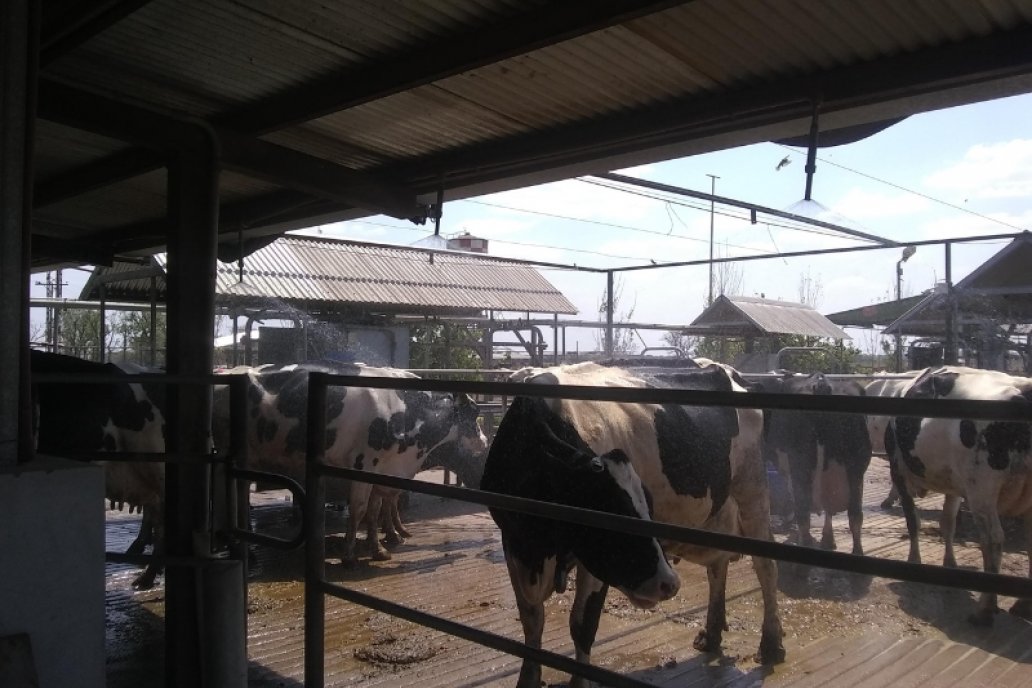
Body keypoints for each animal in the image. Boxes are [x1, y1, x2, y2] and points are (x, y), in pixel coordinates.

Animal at [211, 363, 489, 561]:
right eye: (473, 414)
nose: (485, 442)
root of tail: (230, 372)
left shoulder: (384, 470)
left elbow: (377, 508)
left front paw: (379, 546)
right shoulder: (363, 464)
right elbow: (360, 509)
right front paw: (350, 553)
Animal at [482, 363, 780, 684]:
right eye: (612, 510)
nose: (670, 584)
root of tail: (724, 370)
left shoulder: (592, 563)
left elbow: (582, 625)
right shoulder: (513, 545)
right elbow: (532, 621)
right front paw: (528, 678)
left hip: (752, 487)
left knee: (766, 566)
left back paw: (771, 644)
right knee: (717, 565)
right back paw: (711, 634)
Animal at [759, 373, 871, 557]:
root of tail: (821, 383)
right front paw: (828, 540)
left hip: (800, 464)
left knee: (803, 512)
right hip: (856, 465)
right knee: (855, 514)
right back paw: (857, 552)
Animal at [883, 365, 1032, 623]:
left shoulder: (897, 470)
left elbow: (913, 521)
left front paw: (914, 561)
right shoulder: (954, 484)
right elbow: (948, 524)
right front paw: (950, 564)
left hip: (981, 489)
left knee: (992, 539)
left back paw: (985, 609)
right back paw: (1023, 605)